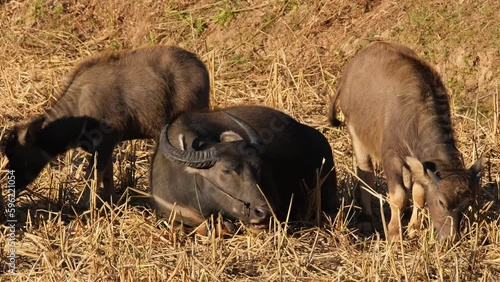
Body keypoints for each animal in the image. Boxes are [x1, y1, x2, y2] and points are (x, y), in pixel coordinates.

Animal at [1, 44, 209, 207]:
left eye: (16, 154)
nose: (12, 185)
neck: (79, 110)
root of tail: (201, 68)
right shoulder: (104, 147)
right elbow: (107, 176)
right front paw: (111, 202)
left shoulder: (105, 142)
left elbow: (93, 176)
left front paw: (82, 205)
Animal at [328, 40, 484, 241]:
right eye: (441, 202)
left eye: (467, 204)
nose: (450, 237)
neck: (417, 117)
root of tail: (350, 69)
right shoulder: (391, 155)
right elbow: (398, 195)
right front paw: (394, 233)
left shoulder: (419, 163)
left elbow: (419, 193)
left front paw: (414, 227)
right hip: (355, 132)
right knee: (366, 174)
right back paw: (366, 220)